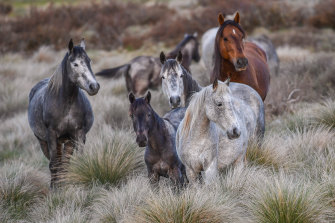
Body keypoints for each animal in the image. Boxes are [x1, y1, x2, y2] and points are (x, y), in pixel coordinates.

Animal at [28, 39, 99, 187]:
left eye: (89, 61)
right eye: (75, 64)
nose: (94, 86)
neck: (65, 104)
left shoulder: (78, 134)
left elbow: (77, 161)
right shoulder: (51, 136)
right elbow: (54, 164)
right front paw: (54, 189)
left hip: (67, 141)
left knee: (64, 164)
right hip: (43, 142)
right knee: (56, 163)